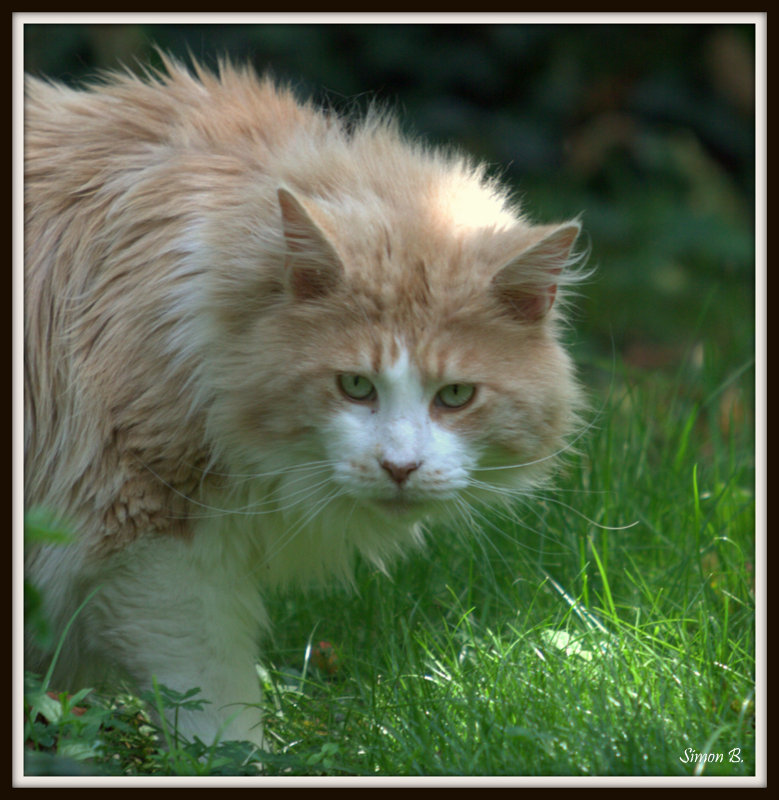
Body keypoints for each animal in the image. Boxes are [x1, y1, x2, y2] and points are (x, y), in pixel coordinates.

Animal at [22, 56, 584, 752]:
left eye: (455, 395)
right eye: (355, 386)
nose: (401, 468)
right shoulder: (144, 537)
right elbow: (218, 708)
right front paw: (250, 761)